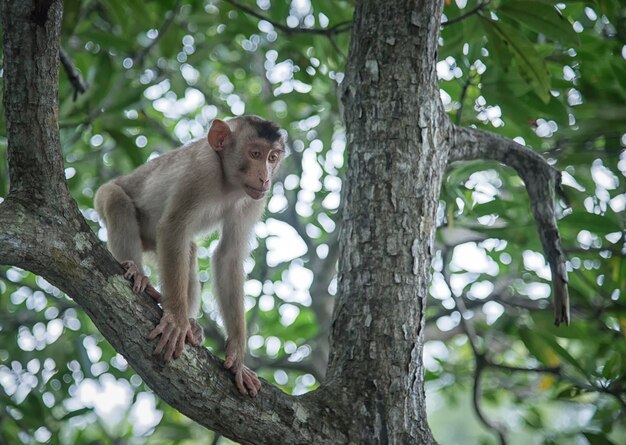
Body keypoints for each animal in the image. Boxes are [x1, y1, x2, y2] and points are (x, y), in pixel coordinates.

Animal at [94, 115, 284, 396]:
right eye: (255, 154)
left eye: (273, 157)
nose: (265, 177)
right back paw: (139, 274)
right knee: (117, 200)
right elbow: (173, 228)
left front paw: (237, 356)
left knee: (190, 251)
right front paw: (175, 318)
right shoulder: (201, 171)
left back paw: (191, 322)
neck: (227, 182)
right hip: (104, 195)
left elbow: (229, 256)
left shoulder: (253, 199)